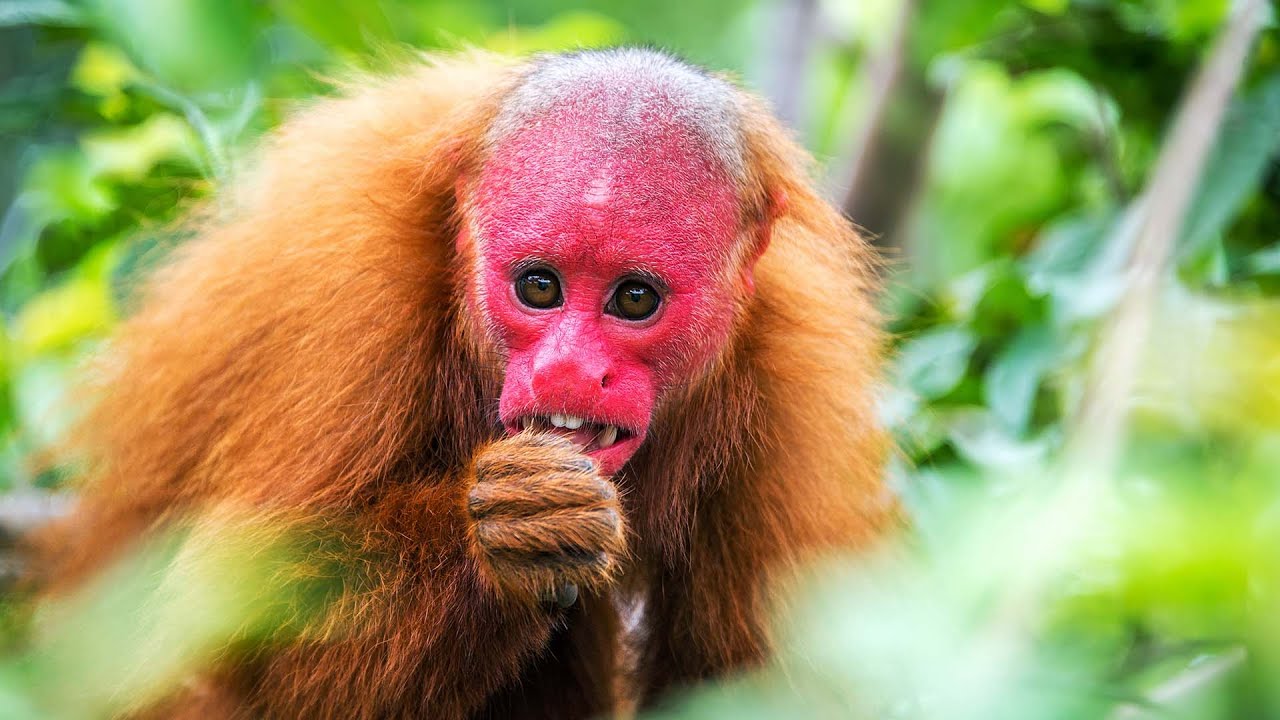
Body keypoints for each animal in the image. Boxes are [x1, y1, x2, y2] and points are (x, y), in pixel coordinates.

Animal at [37, 48, 891, 719]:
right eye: (538, 287)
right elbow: (240, 624)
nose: (567, 370)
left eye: (634, 299)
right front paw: (503, 533)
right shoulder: (347, 295)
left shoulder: (791, 381)